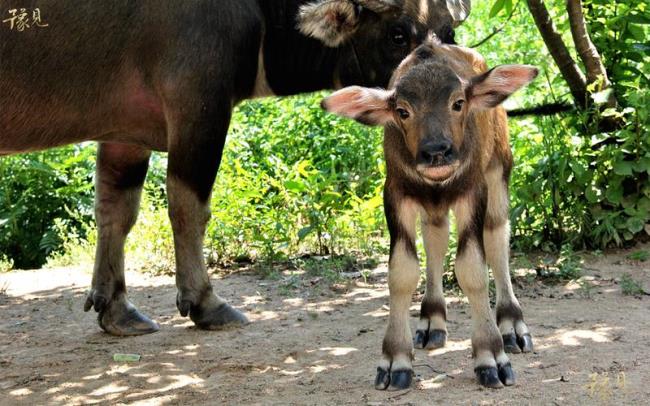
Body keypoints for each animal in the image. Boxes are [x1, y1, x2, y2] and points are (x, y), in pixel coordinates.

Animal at [0, 0, 470, 336]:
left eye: (449, 33)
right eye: (397, 34)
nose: (451, 92)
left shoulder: (124, 132)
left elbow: (116, 211)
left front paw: (115, 308)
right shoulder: (199, 109)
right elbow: (188, 208)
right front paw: (205, 302)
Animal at [322, 36, 536, 388]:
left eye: (458, 103)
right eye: (402, 111)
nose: (436, 152)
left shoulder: (473, 191)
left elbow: (473, 269)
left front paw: (490, 356)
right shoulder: (397, 194)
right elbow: (402, 272)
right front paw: (396, 360)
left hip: (499, 169)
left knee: (496, 237)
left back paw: (512, 327)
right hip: (433, 206)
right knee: (435, 237)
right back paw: (432, 320)